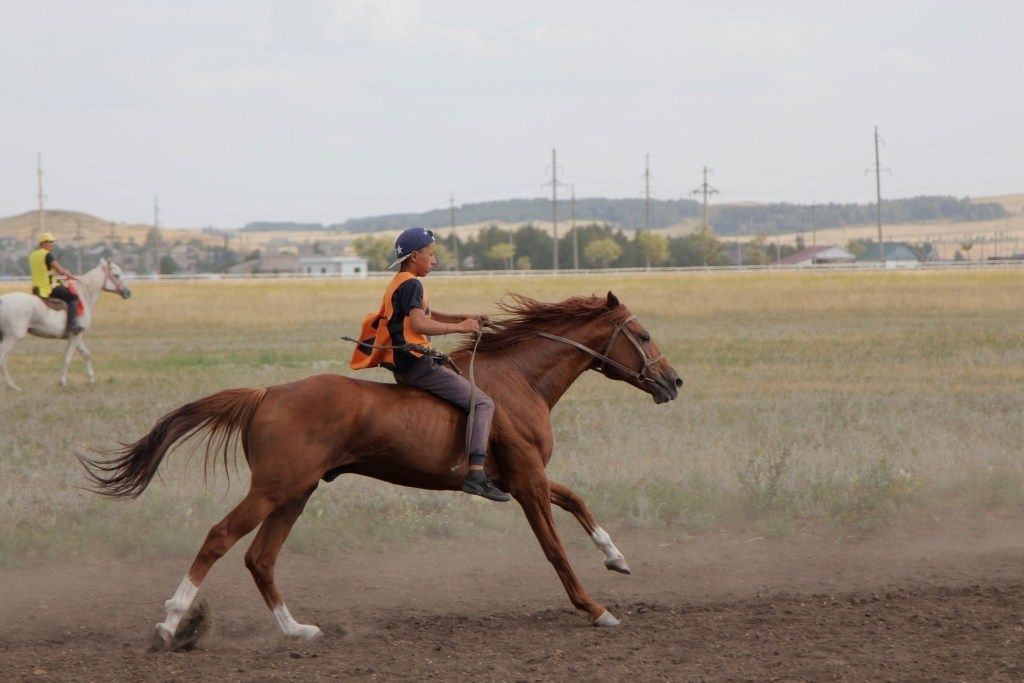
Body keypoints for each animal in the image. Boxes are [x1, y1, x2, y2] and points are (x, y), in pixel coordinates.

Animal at [0, 259, 132, 393]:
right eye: (116, 275)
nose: (127, 292)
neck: (84, 295)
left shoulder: (76, 337)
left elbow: (87, 355)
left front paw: (91, 380)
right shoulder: (75, 336)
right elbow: (68, 359)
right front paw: (63, 383)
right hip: (11, 337)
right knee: (2, 361)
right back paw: (14, 387)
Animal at [77, 290, 679, 651]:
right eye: (645, 335)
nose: (674, 382)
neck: (519, 381)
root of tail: (266, 392)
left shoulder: (523, 478)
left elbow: (576, 498)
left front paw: (616, 557)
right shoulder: (527, 483)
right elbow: (554, 548)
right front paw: (595, 609)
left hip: (296, 493)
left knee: (260, 558)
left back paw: (296, 629)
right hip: (274, 489)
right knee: (220, 538)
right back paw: (171, 623)